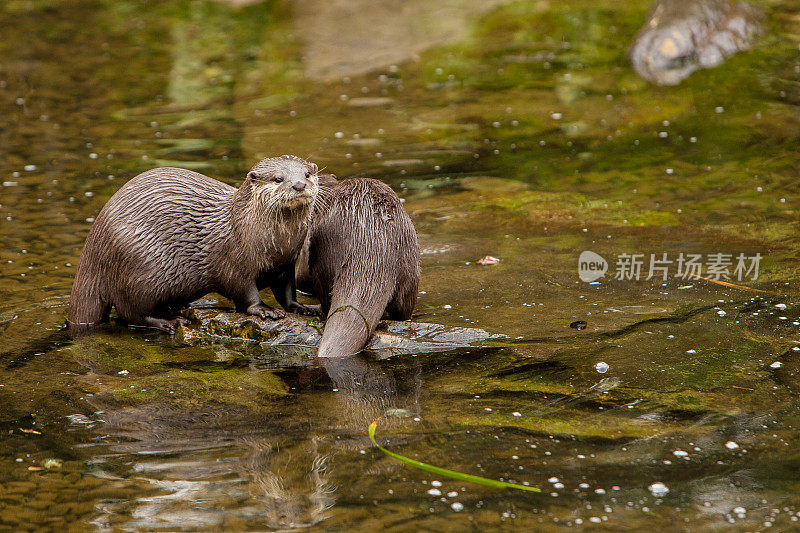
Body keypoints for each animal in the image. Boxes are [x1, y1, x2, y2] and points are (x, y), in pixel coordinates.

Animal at [66, 154, 322, 332]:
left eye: (307, 174)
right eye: (278, 178)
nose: (299, 185)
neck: (274, 244)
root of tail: (94, 242)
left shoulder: (286, 262)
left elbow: (287, 291)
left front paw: (302, 308)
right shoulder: (234, 260)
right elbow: (244, 292)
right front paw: (265, 310)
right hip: (140, 269)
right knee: (130, 311)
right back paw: (168, 322)